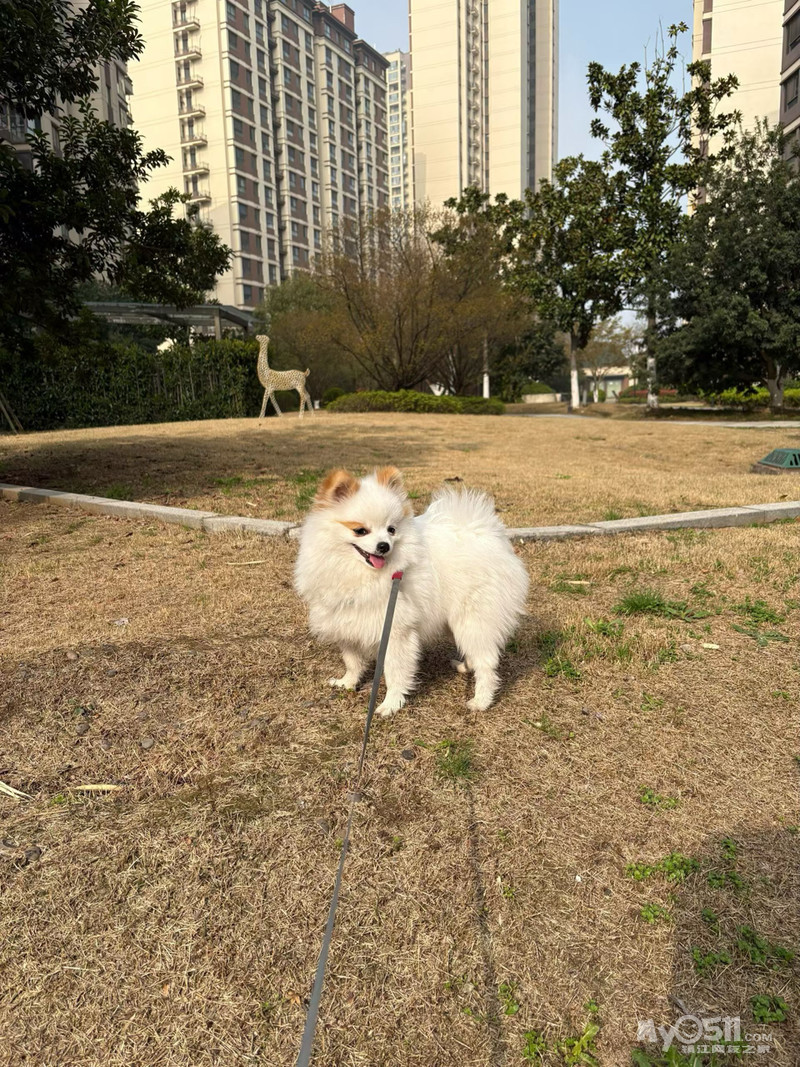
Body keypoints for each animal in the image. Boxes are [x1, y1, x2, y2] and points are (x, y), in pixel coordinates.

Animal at [294, 467, 528, 717]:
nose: (384, 546)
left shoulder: (396, 631)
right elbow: (352, 660)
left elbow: (395, 672)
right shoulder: (346, 623)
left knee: (486, 661)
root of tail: (485, 534)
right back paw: (465, 666)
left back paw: (481, 701)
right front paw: (347, 683)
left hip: (474, 619)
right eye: (360, 531)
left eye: (391, 530)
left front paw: (390, 704)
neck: (359, 572)